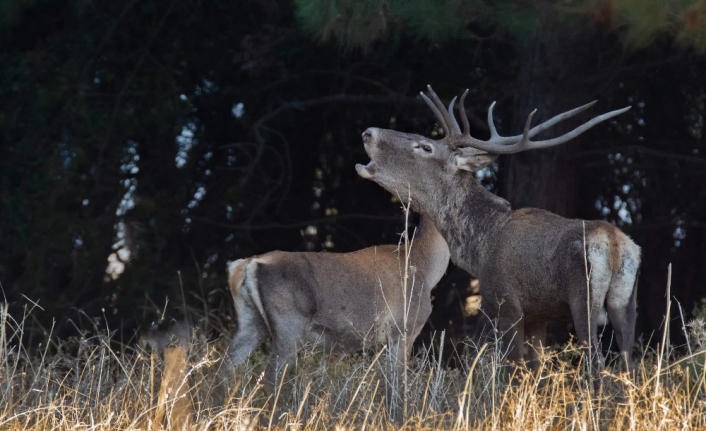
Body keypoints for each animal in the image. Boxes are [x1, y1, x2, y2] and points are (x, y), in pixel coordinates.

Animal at [226, 214, 448, 396]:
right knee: (271, 377)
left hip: (251, 321)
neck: (426, 267)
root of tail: (247, 265)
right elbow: (398, 386)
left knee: (228, 366)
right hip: (289, 323)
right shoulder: (404, 328)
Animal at [354, 85, 640, 382]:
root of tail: (615, 245)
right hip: (626, 302)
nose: (368, 133)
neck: (481, 248)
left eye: (425, 146)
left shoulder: (505, 302)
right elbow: (535, 368)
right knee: (629, 363)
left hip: (584, 298)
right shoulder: (538, 314)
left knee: (596, 364)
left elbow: (512, 368)